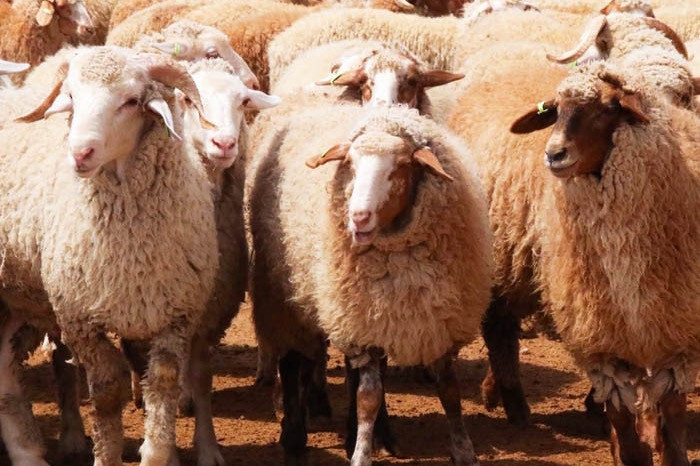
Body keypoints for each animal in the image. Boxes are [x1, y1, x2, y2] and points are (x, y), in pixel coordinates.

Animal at [5, 45, 218, 466]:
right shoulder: (79, 319)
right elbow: (106, 393)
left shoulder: (176, 315)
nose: (80, 153)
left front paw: (156, 453)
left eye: (132, 101)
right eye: (71, 96)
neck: (132, 249)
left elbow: (162, 386)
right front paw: (106, 454)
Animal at [248, 101, 492, 465]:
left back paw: (379, 434)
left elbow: (449, 391)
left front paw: (464, 451)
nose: (358, 217)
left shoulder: (434, 320)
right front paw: (360, 453)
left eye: (402, 165)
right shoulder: (361, 323)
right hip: (287, 298)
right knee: (293, 361)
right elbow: (367, 398)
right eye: (349, 163)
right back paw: (295, 435)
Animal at [508, 61, 700, 466]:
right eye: (555, 109)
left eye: (610, 107)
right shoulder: (601, 345)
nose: (555, 154)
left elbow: (674, 416)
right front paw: (631, 452)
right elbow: (621, 419)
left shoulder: (680, 338)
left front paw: (670, 452)